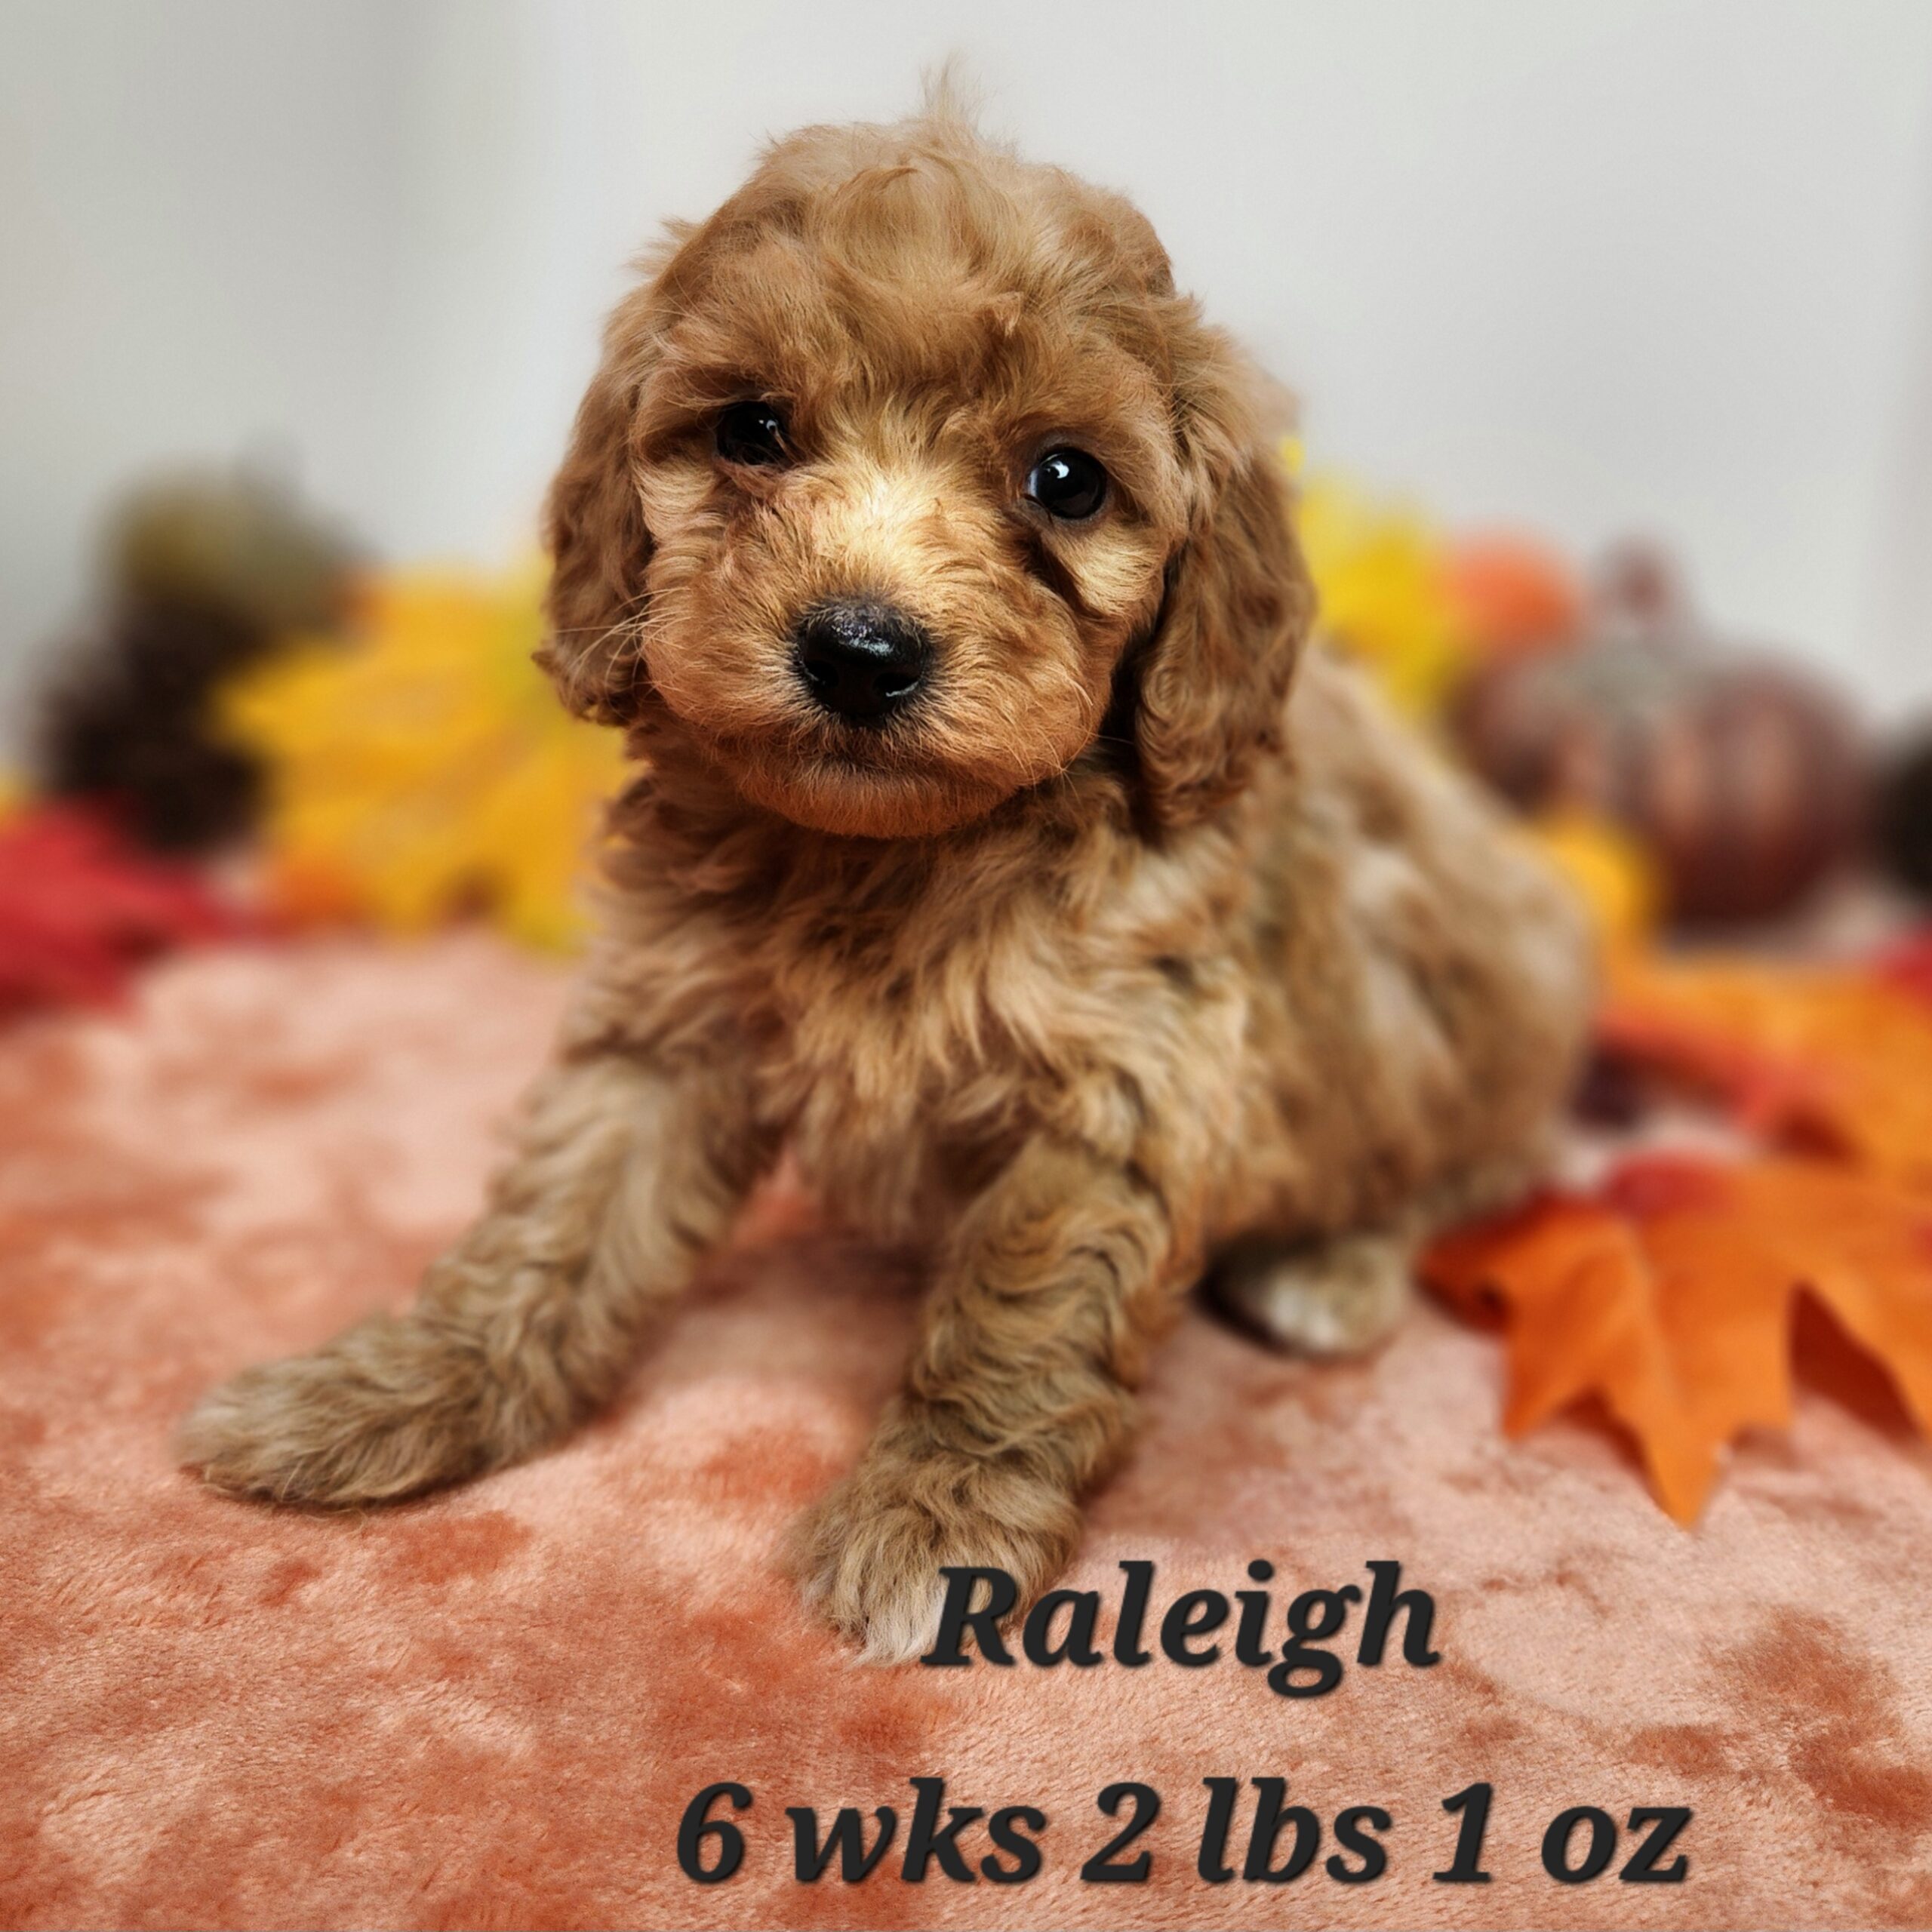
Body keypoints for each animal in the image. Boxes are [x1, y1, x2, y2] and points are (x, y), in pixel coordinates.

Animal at [177, 97, 1584, 1661]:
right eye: (753, 429)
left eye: (1066, 480)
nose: (859, 652)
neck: (892, 856)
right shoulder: (672, 1015)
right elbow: (558, 1216)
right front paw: (393, 1388)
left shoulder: (1127, 1077)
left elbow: (1021, 1304)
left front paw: (936, 1514)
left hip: (1483, 1004)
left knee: (1496, 1164)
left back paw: (1333, 1266)